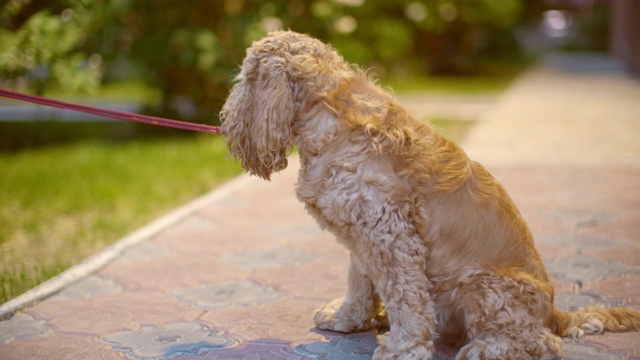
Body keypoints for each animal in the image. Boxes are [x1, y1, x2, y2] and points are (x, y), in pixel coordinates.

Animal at [221, 31, 640, 360]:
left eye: (245, 75)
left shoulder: (391, 235)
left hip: (482, 287)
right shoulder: (362, 231)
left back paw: (485, 349)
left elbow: (405, 297)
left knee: (542, 342)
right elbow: (359, 280)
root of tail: (555, 312)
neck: (327, 106)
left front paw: (404, 347)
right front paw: (348, 319)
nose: (225, 119)